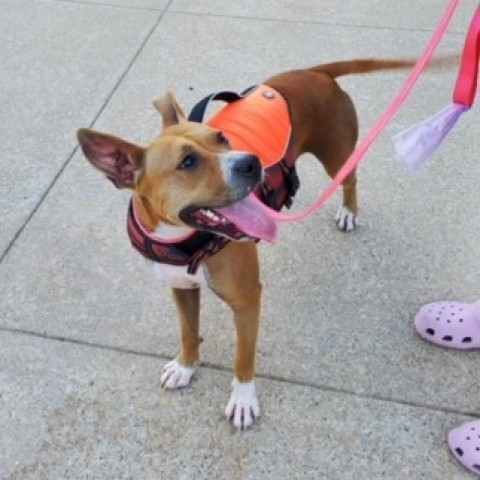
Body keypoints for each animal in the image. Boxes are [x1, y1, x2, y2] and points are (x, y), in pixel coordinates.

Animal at [77, 58, 414, 430]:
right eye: (187, 162)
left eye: (221, 137)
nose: (251, 161)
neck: (182, 239)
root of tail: (315, 72)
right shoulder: (180, 287)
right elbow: (188, 330)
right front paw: (185, 366)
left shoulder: (247, 299)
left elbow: (243, 355)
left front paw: (242, 399)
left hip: (336, 154)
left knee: (349, 179)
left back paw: (349, 211)